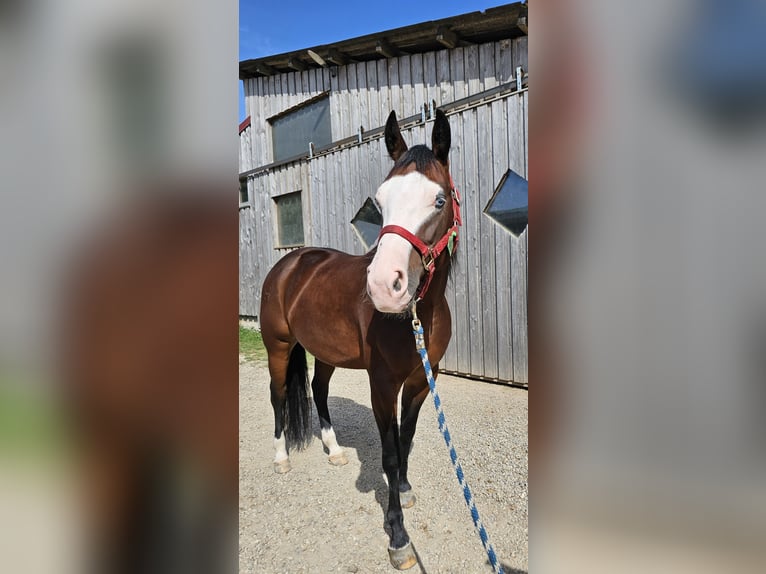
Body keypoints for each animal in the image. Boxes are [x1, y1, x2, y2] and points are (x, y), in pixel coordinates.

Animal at [258, 109, 462, 572]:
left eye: (439, 200)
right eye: (380, 202)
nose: (385, 287)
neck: (417, 316)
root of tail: (291, 262)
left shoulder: (421, 382)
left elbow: (406, 438)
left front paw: (402, 487)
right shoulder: (382, 384)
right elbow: (388, 451)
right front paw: (398, 535)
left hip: (324, 352)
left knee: (318, 390)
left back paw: (333, 450)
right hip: (278, 347)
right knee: (278, 396)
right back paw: (280, 458)